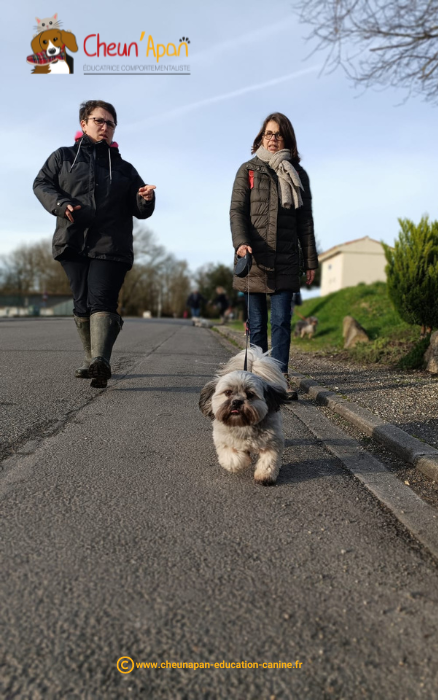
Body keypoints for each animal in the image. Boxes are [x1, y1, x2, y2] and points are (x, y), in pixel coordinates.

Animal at [199, 346, 290, 486]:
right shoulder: (223, 441)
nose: (237, 401)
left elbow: (269, 460)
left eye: (250, 394)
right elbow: (233, 458)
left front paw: (264, 476)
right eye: (228, 392)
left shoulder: (272, 442)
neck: (243, 425)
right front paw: (243, 459)